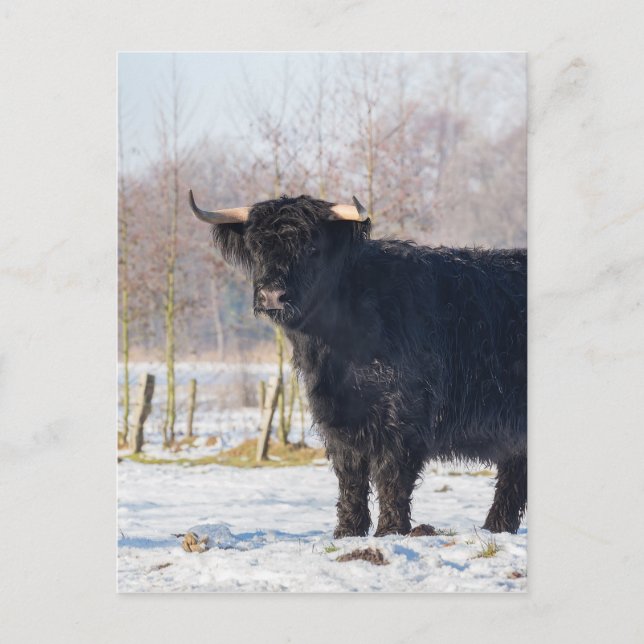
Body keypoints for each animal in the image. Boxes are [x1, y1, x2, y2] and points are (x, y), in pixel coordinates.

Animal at [189, 190, 527, 536]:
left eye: (312, 248)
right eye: (257, 248)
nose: (272, 296)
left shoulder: (403, 414)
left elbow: (391, 475)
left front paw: (390, 530)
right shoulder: (336, 415)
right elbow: (350, 476)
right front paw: (347, 531)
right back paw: (496, 527)